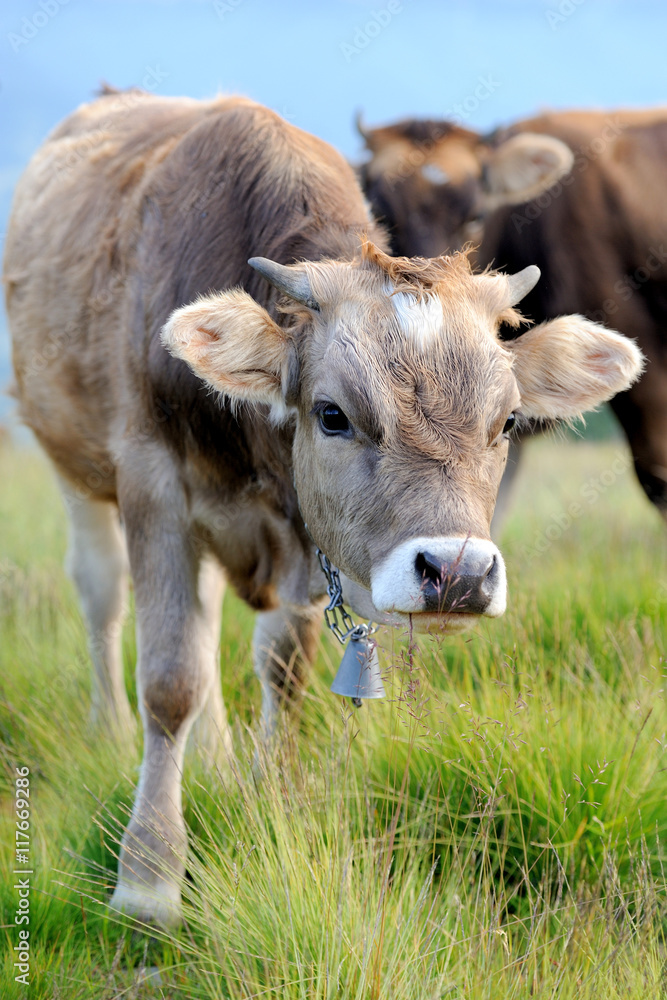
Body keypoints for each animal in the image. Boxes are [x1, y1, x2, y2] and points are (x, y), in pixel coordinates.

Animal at [2, 90, 644, 924]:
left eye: (506, 420)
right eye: (332, 414)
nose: (457, 573)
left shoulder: (304, 541)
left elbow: (281, 670)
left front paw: (267, 802)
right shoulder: (154, 489)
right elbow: (171, 680)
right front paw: (147, 877)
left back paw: (215, 756)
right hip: (72, 465)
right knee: (103, 595)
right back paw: (110, 728)